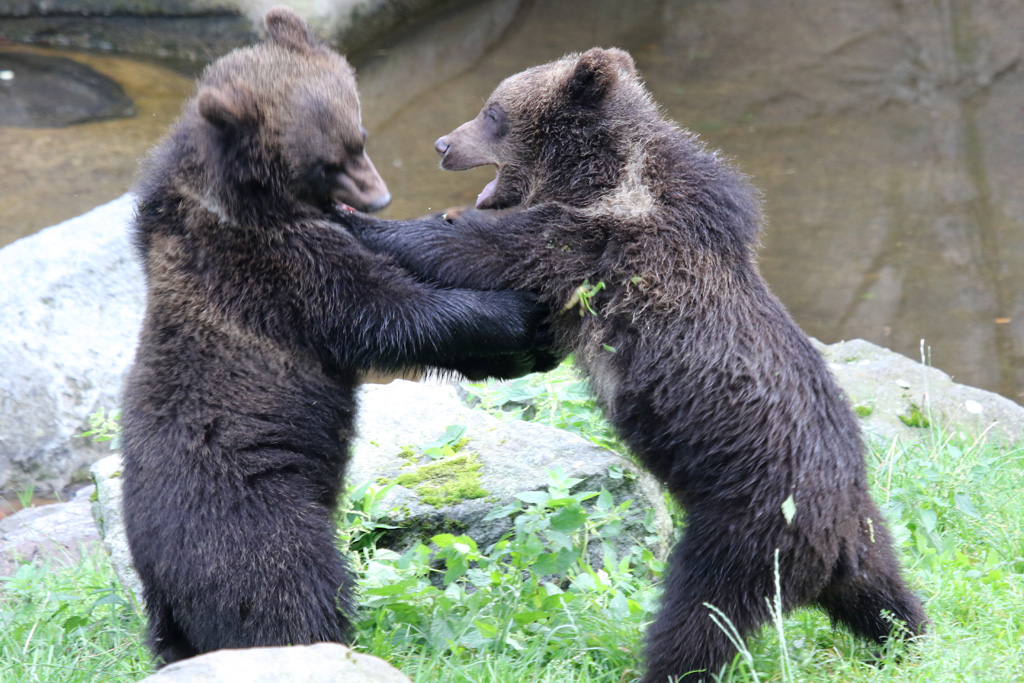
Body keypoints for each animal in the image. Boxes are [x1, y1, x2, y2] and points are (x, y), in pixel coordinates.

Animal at [120, 7, 552, 666]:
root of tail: (158, 576)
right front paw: (516, 315)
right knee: (288, 584)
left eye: (362, 136)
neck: (250, 199)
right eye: (330, 158)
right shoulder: (273, 271)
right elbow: (389, 312)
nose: (380, 195)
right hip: (249, 511)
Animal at [347, 48, 928, 681]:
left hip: (746, 527)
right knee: (887, 595)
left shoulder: (595, 244)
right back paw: (909, 640)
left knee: (699, 617)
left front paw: (365, 219)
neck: (604, 177)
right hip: (864, 535)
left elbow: (477, 248)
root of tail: (833, 539)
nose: (442, 143)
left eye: (493, 112)